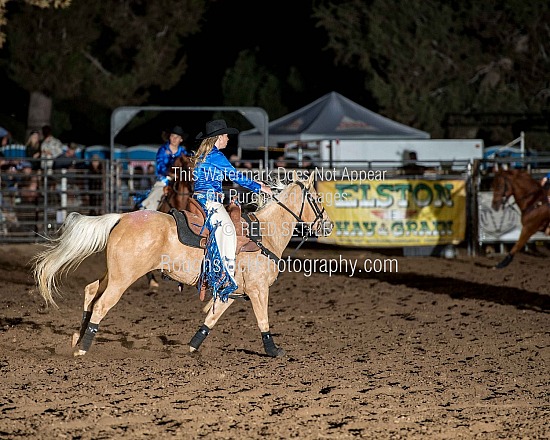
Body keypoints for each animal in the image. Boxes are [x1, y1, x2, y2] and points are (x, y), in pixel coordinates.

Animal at [32, 172, 334, 358]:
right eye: (318, 199)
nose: (329, 226)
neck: (264, 234)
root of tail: (122, 217)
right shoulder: (259, 290)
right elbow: (263, 320)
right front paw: (273, 350)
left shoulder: (231, 292)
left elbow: (210, 319)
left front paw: (191, 347)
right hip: (123, 278)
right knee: (101, 305)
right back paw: (83, 348)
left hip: (113, 273)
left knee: (91, 291)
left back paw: (77, 338)